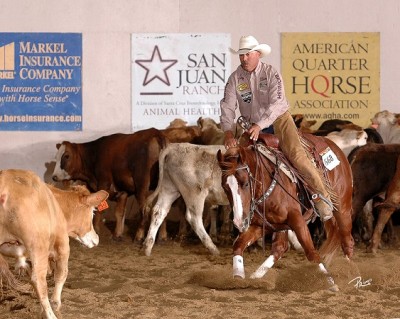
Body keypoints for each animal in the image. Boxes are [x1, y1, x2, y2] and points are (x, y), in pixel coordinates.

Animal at [0, 169, 108, 318]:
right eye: (92, 213)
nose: (96, 238)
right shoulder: (63, 244)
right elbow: (62, 273)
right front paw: (56, 303)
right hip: (38, 245)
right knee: (38, 280)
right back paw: (51, 315)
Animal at [219, 138, 354, 292]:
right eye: (225, 187)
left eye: (246, 183)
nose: (238, 221)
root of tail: (335, 147)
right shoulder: (263, 225)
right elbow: (238, 245)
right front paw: (238, 278)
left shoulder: (297, 220)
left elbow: (311, 253)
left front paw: (332, 284)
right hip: (282, 225)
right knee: (280, 247)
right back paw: (256, 277)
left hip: (342, 209)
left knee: (347, 241)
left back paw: (351, 276)